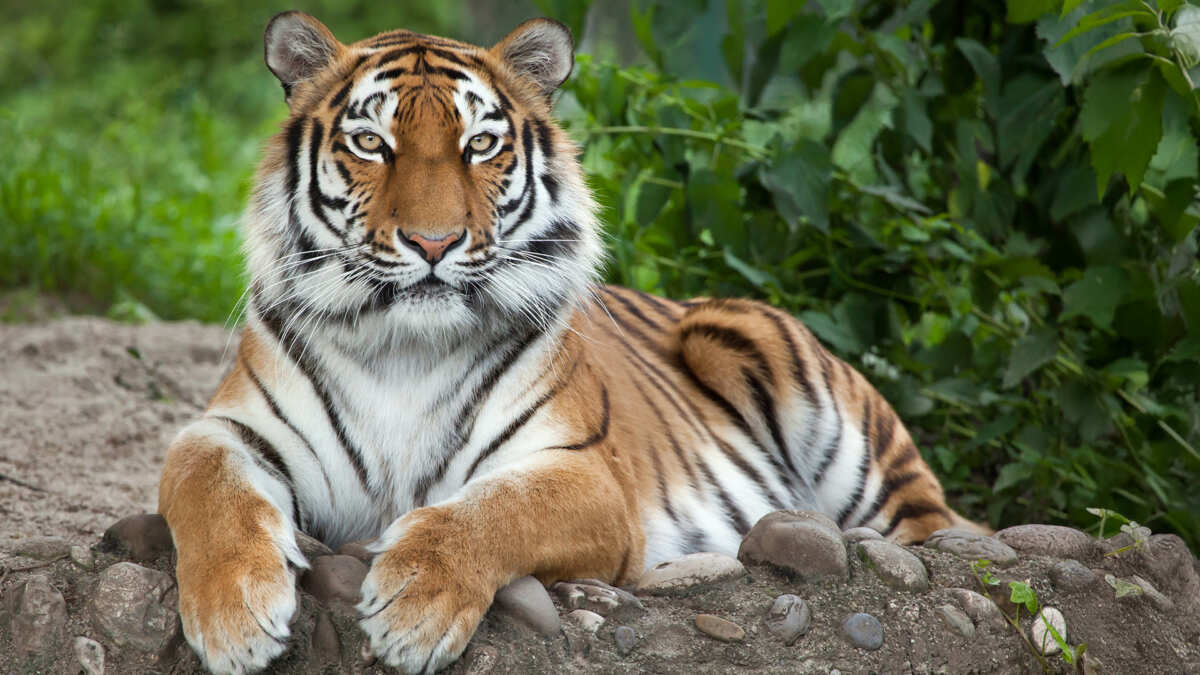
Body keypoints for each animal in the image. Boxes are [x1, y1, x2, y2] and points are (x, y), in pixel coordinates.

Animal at [156, 11, 985, 675]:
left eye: (479, 145)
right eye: (370, 142)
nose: (433, 242)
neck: (404, 349)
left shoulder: (585, 473)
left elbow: (490, 510)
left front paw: (414, 603)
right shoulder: (228, 429)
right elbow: (209, 488)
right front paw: (234, 616)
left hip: (778, 367)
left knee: (936, 527)